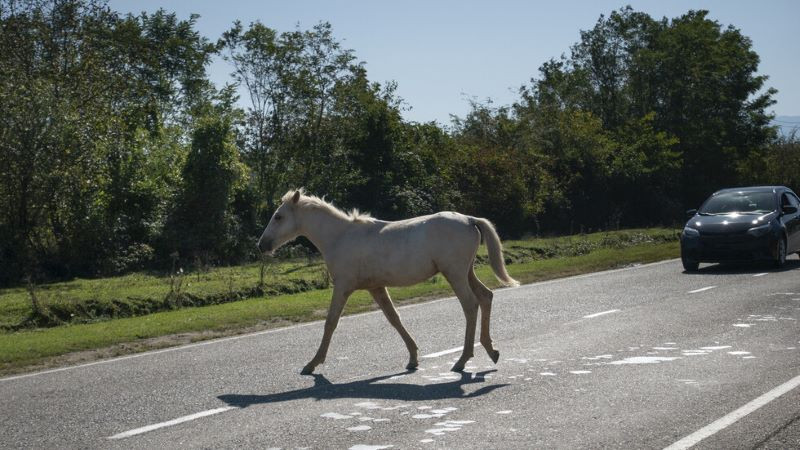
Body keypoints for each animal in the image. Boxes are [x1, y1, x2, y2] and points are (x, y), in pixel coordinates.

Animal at [258, 188, 520, 374]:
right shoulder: (376, 287)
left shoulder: (343, 286)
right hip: (466, 272)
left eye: (278, 216)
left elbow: (330, 322)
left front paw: (312, 364)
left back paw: (462, 360)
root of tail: (469, 219)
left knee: (471, 305)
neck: (340, 237)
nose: (262, 245)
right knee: (486, 296)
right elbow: (394, 318)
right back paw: (491, 350)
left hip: (455, 274)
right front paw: (413, 358)